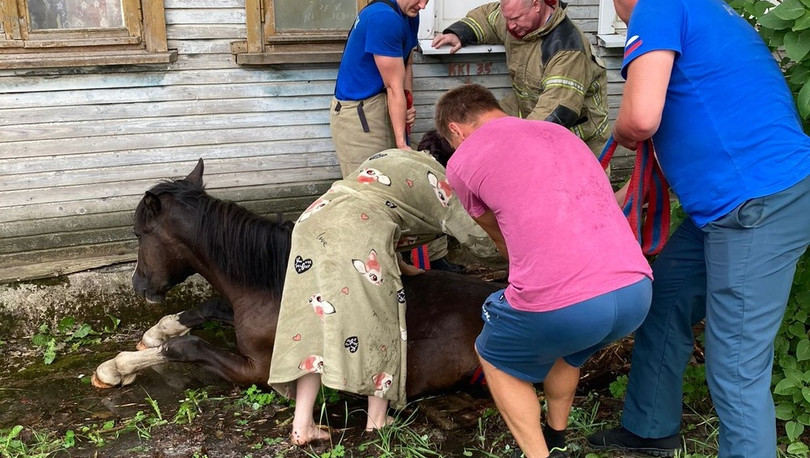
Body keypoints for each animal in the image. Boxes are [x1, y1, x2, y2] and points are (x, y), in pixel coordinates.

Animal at [91, 159, 502, 398]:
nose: (138, 285)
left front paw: (115, 367)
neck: (272, 283)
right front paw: (154, 334)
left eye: (139, 233)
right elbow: (207, 307)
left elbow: (186, 347)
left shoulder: (257, 370)